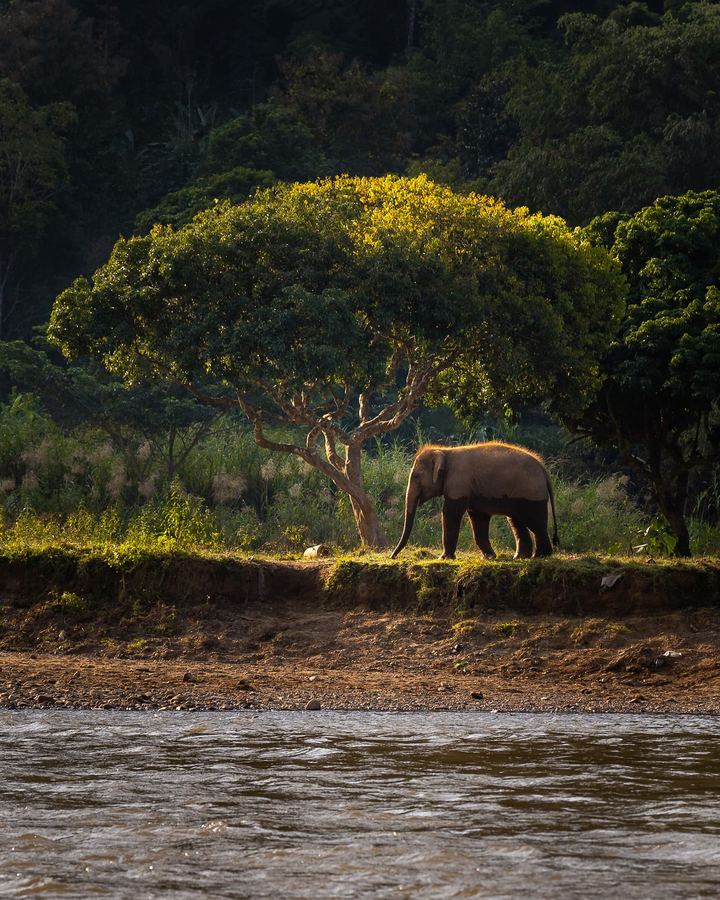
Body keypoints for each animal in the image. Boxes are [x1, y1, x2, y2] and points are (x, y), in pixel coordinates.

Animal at [390, 442, 559, 560]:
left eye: (416, 476)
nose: (392, 556)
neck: (446, 451)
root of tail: (544, 470)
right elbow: (478, 518)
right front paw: (489, 557)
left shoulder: (459, 483)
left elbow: (450, 514)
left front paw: (443, 558)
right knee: (516, 521)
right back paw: (520, 557)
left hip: (531, 493)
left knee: (534, 522)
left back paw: (541, 556)